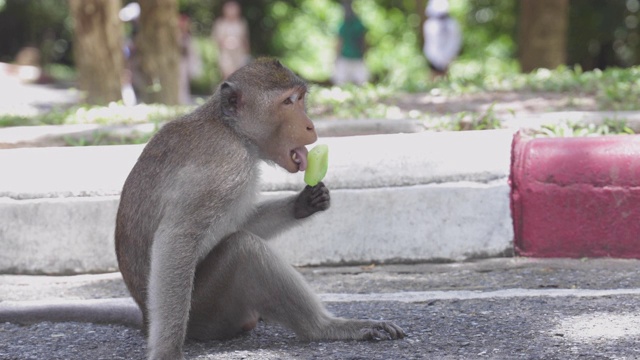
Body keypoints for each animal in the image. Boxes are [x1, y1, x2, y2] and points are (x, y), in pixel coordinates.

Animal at [114, 57, 404, 358]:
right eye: (287, 102)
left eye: (301, 99)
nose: (311, 126)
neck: (233, 131)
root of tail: (144, 317)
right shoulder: (226, 168)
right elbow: (177, 239)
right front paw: (167, 351)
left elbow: (237, 222)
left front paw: (303, 204)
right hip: (206, 309)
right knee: (244, 250)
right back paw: (324, 328)